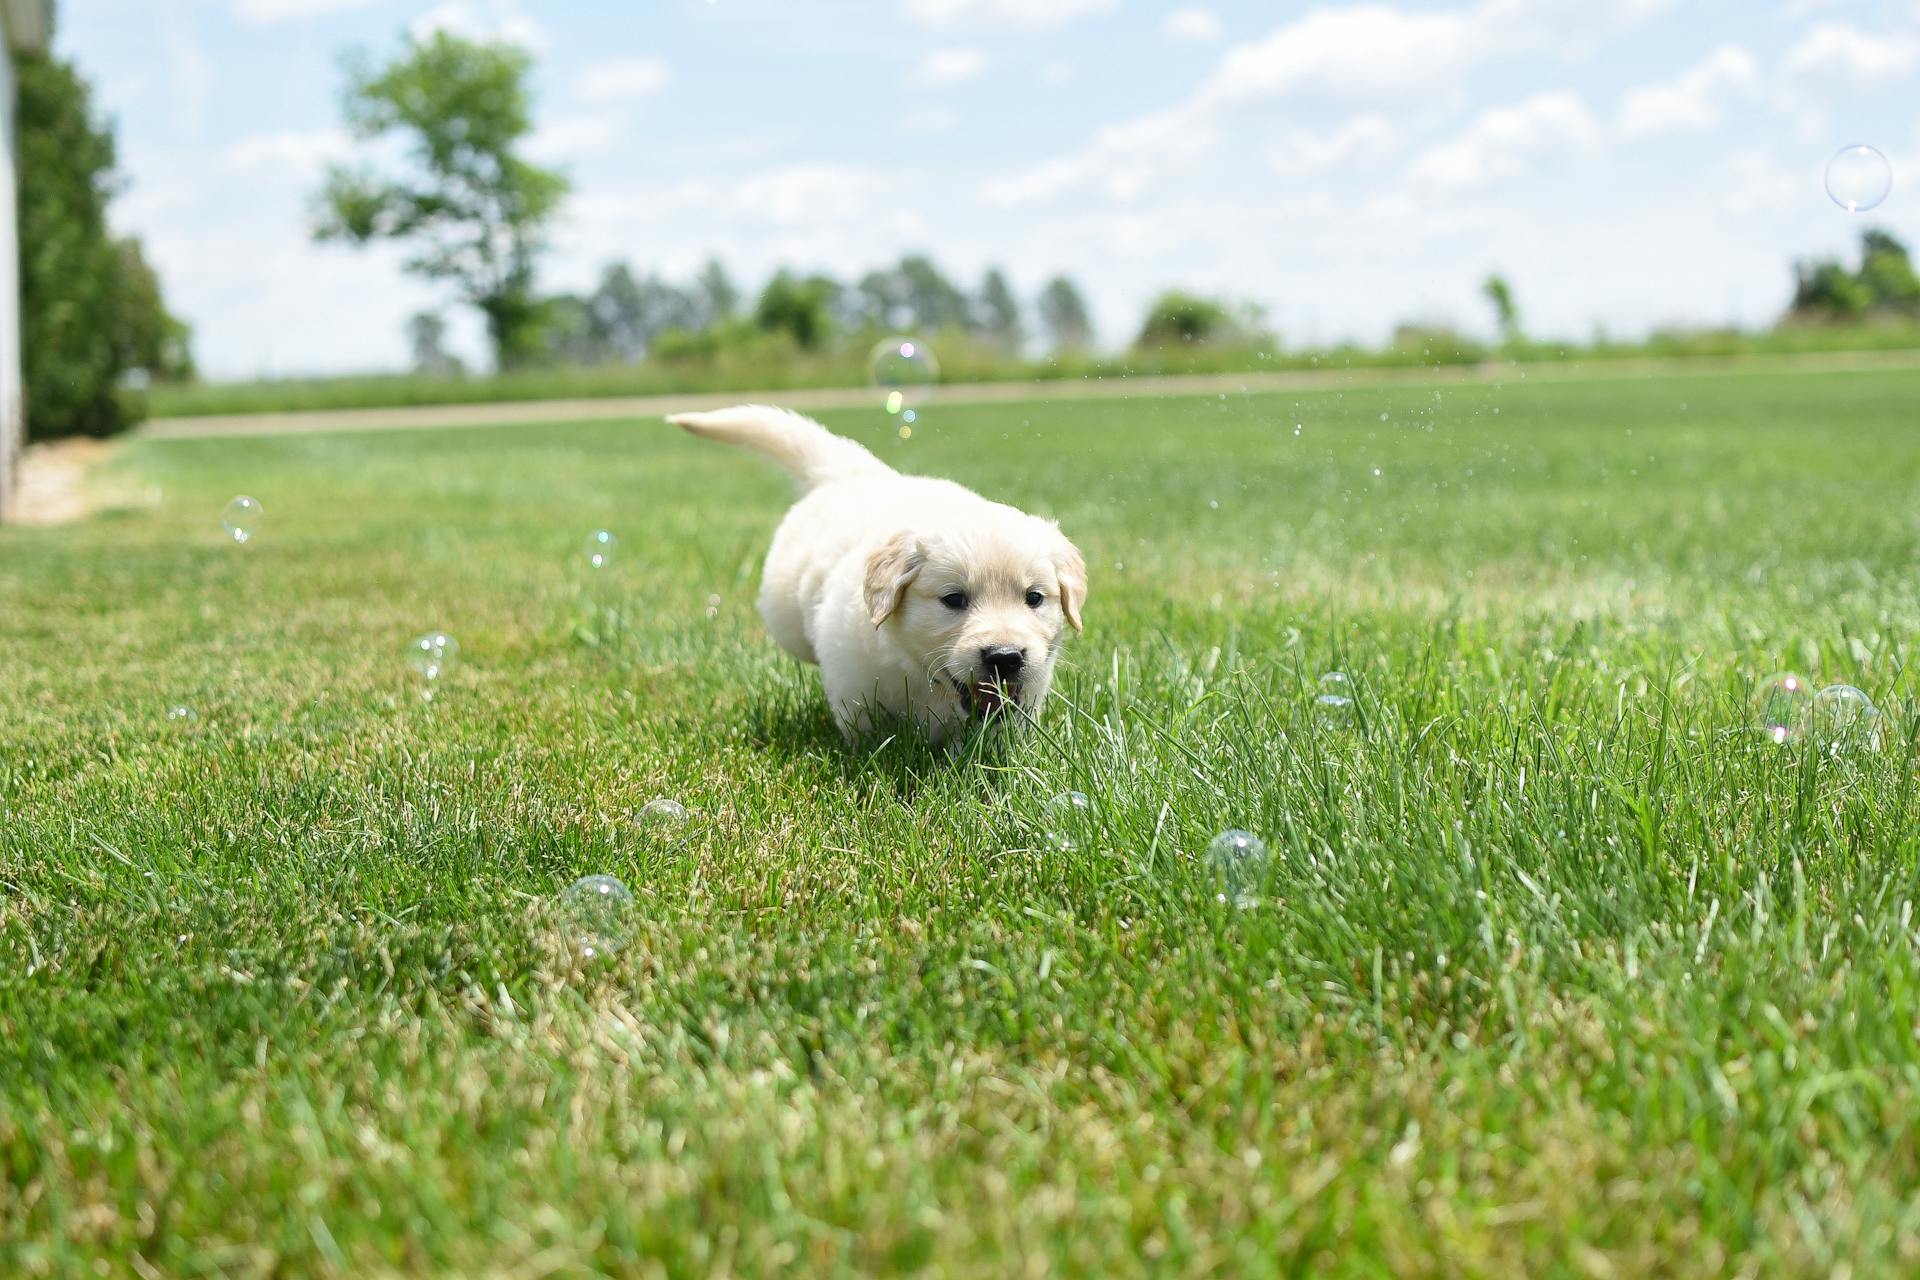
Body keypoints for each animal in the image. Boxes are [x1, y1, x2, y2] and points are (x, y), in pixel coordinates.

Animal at [664, 401, 1082, 740]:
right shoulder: (852, 680)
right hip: (785, 614)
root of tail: (857, 475)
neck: (923, 676)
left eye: (1034, 598)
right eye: (953, 600)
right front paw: (867, 752)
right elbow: (862, 729)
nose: (1005, 657)